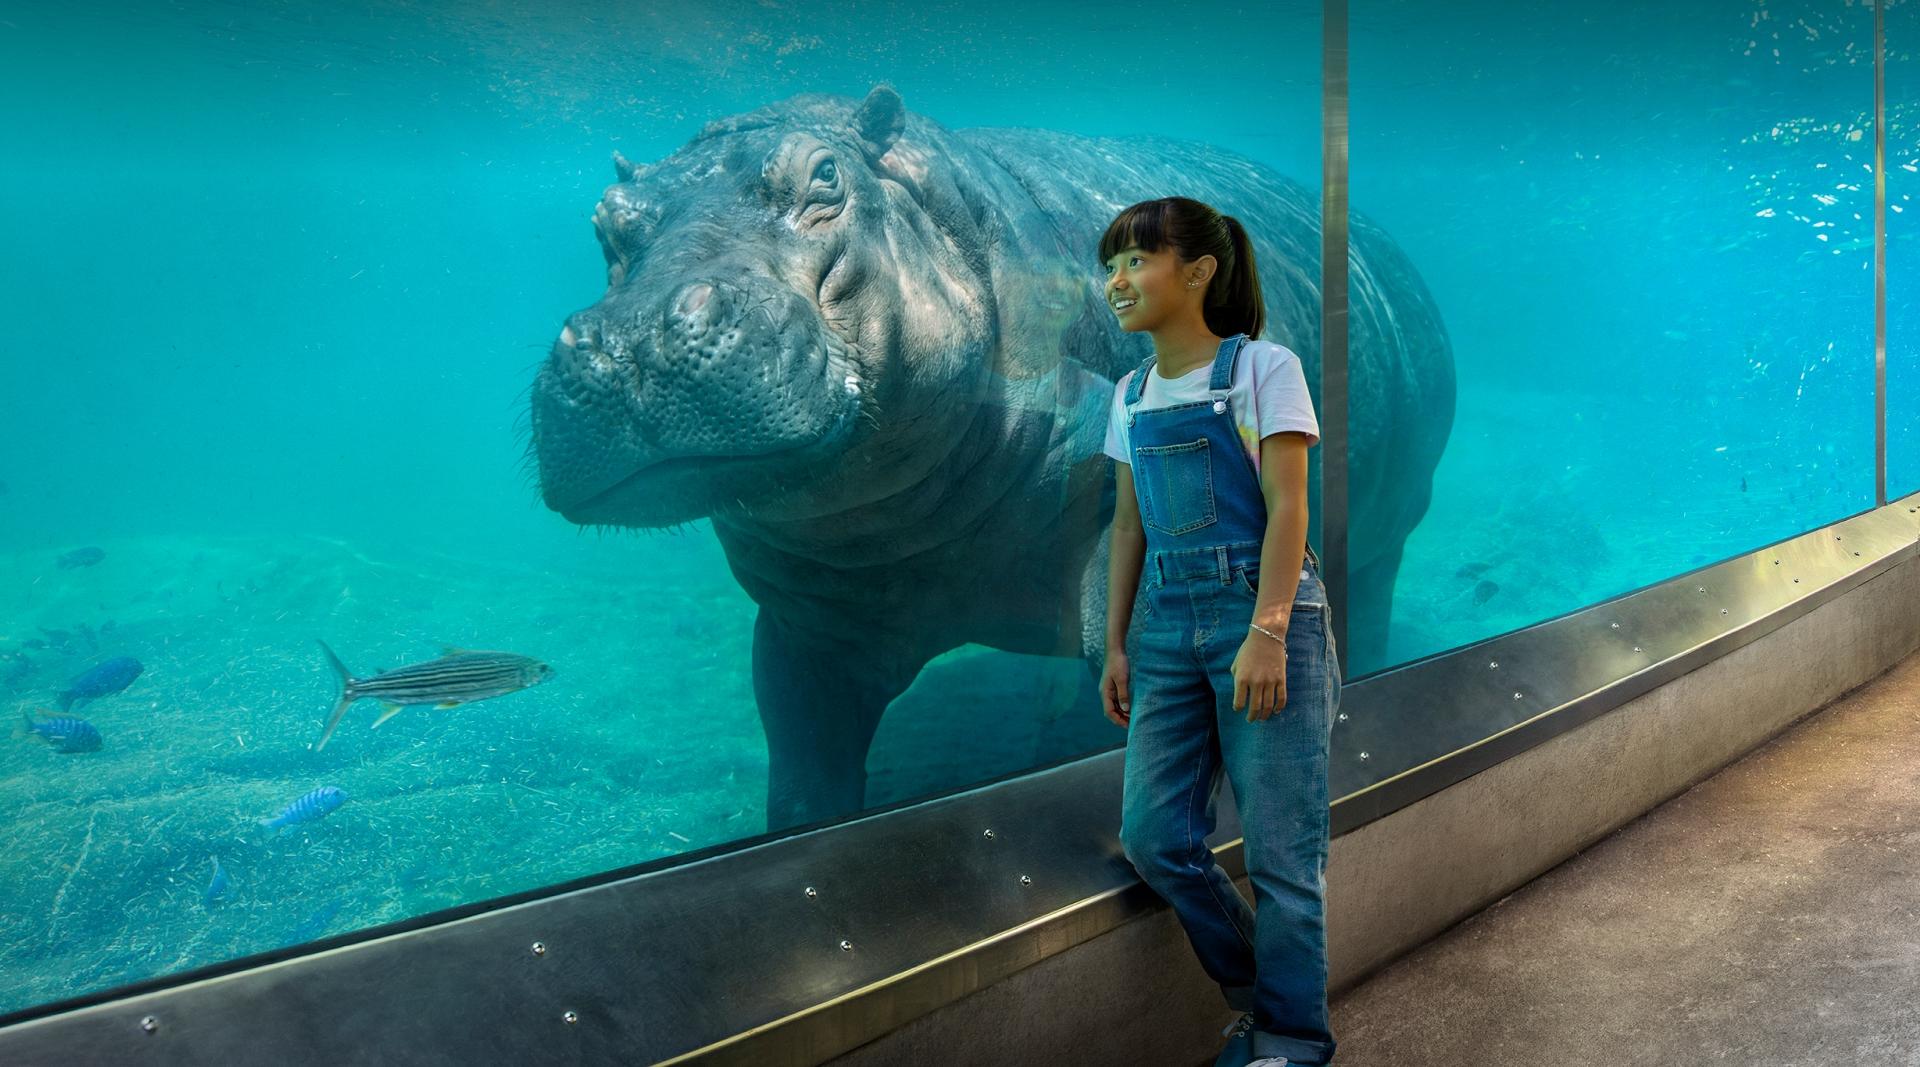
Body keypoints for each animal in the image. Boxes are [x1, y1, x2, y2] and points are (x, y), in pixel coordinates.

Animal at [530, 85, 1453, 833]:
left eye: (824, 176)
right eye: (606, 219)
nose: (629, 338)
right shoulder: (804, 626)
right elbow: (802, 775)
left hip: (1390, 531)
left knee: (1364, 596)